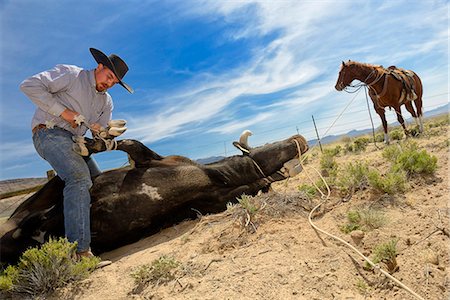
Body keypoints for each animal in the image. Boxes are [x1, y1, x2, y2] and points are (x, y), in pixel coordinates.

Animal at [0, 133, 310, 262]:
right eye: (269, 143)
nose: (301, 139)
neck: (212, 176)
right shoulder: (148, 161)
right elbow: (129, 143)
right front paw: (91, 142)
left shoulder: (216, 199)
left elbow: (259, 185)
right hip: (51, 187)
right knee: (20, 217)